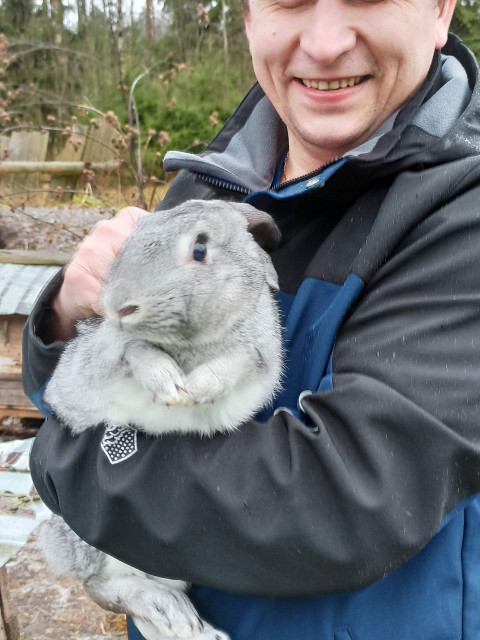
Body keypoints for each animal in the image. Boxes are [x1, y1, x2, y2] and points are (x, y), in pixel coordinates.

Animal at [41, 200, 284, 640]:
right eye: (128, 241)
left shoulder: (258, 353)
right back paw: (173, 615)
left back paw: (191, 627)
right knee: (103, 586)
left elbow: (236, 360)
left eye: (200, 249)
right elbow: (136, 350)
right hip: (79, 536)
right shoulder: (108, 355)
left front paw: (195, 390)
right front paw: (169, 384)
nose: (119, 305)